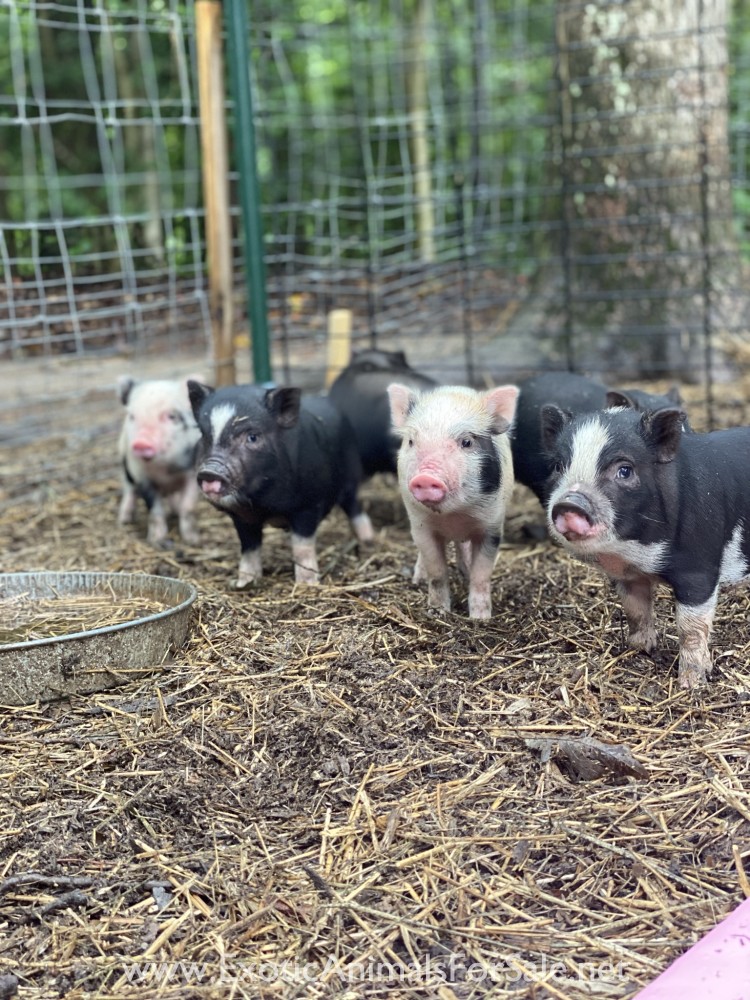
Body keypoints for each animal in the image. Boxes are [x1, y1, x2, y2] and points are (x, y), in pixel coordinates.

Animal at [117, 375, 202, 546]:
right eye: (132, 416)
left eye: (171, 416)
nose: (141, 442)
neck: (164, 469)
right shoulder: (141, 476)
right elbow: (154, 508)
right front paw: (156, 540)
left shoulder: (192, 473)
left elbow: (188, 506)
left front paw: (193, 540)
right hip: (125, 466)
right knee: (130, 490)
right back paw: (124, 521)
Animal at [187, 381, 374, 587]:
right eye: (204, 436)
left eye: (253, 436)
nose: (209, 471)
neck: (263, 503)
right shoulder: (242, 516)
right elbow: (249, 548)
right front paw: (244, 583)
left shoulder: (309, 505)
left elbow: (302, 547)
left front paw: (307, 584)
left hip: (350, 479)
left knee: (355, 508)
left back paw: (368, 541)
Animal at [388, 383, 519, 618]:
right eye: (411, 441)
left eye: (466, 442)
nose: (426, 477)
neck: (453, 517)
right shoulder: (421, 527)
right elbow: (437, 572)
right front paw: (438, 612)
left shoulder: (492, 527)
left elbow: (481, 575)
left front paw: (480, 618)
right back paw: (418, 579)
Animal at [542, 402, 750, 688]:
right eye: (558, 466)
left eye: (625, 470)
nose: (569, 503)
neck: (635, 551)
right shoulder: (628, 575)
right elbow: (635, 609)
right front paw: (639, 649)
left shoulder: (699, 569)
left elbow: (690, 627)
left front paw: (692, 683)